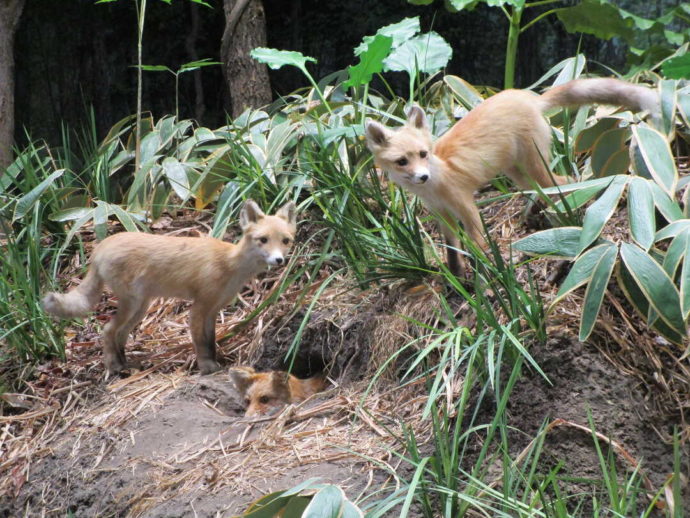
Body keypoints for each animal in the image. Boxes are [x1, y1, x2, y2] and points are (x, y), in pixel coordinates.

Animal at [42, 201, 296, 376]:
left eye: (285, 241)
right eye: (263, 240)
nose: (279, 260)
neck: (229, 264)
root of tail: (100, 246)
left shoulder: (213, 309)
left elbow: (211, 340)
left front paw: (216, 361)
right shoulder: (199, 307)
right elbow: (201, 342)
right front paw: (207, 367)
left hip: (141, 307)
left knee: (120, 334)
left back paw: (126, 364)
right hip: (133, 303)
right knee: (107, 330)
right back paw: (114, 368)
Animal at [362, 77, 660, 276]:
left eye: (424, 154)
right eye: (402, 162)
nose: (422, 176)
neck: (436, 183)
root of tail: (528, 97)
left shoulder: (466, 205)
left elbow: (477, 245)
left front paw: (487, 273)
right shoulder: (441, 214)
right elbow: (452, 251)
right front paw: (456, 278)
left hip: (534, 166)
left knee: (566, 183)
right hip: (519, 173)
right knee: (551, 189)